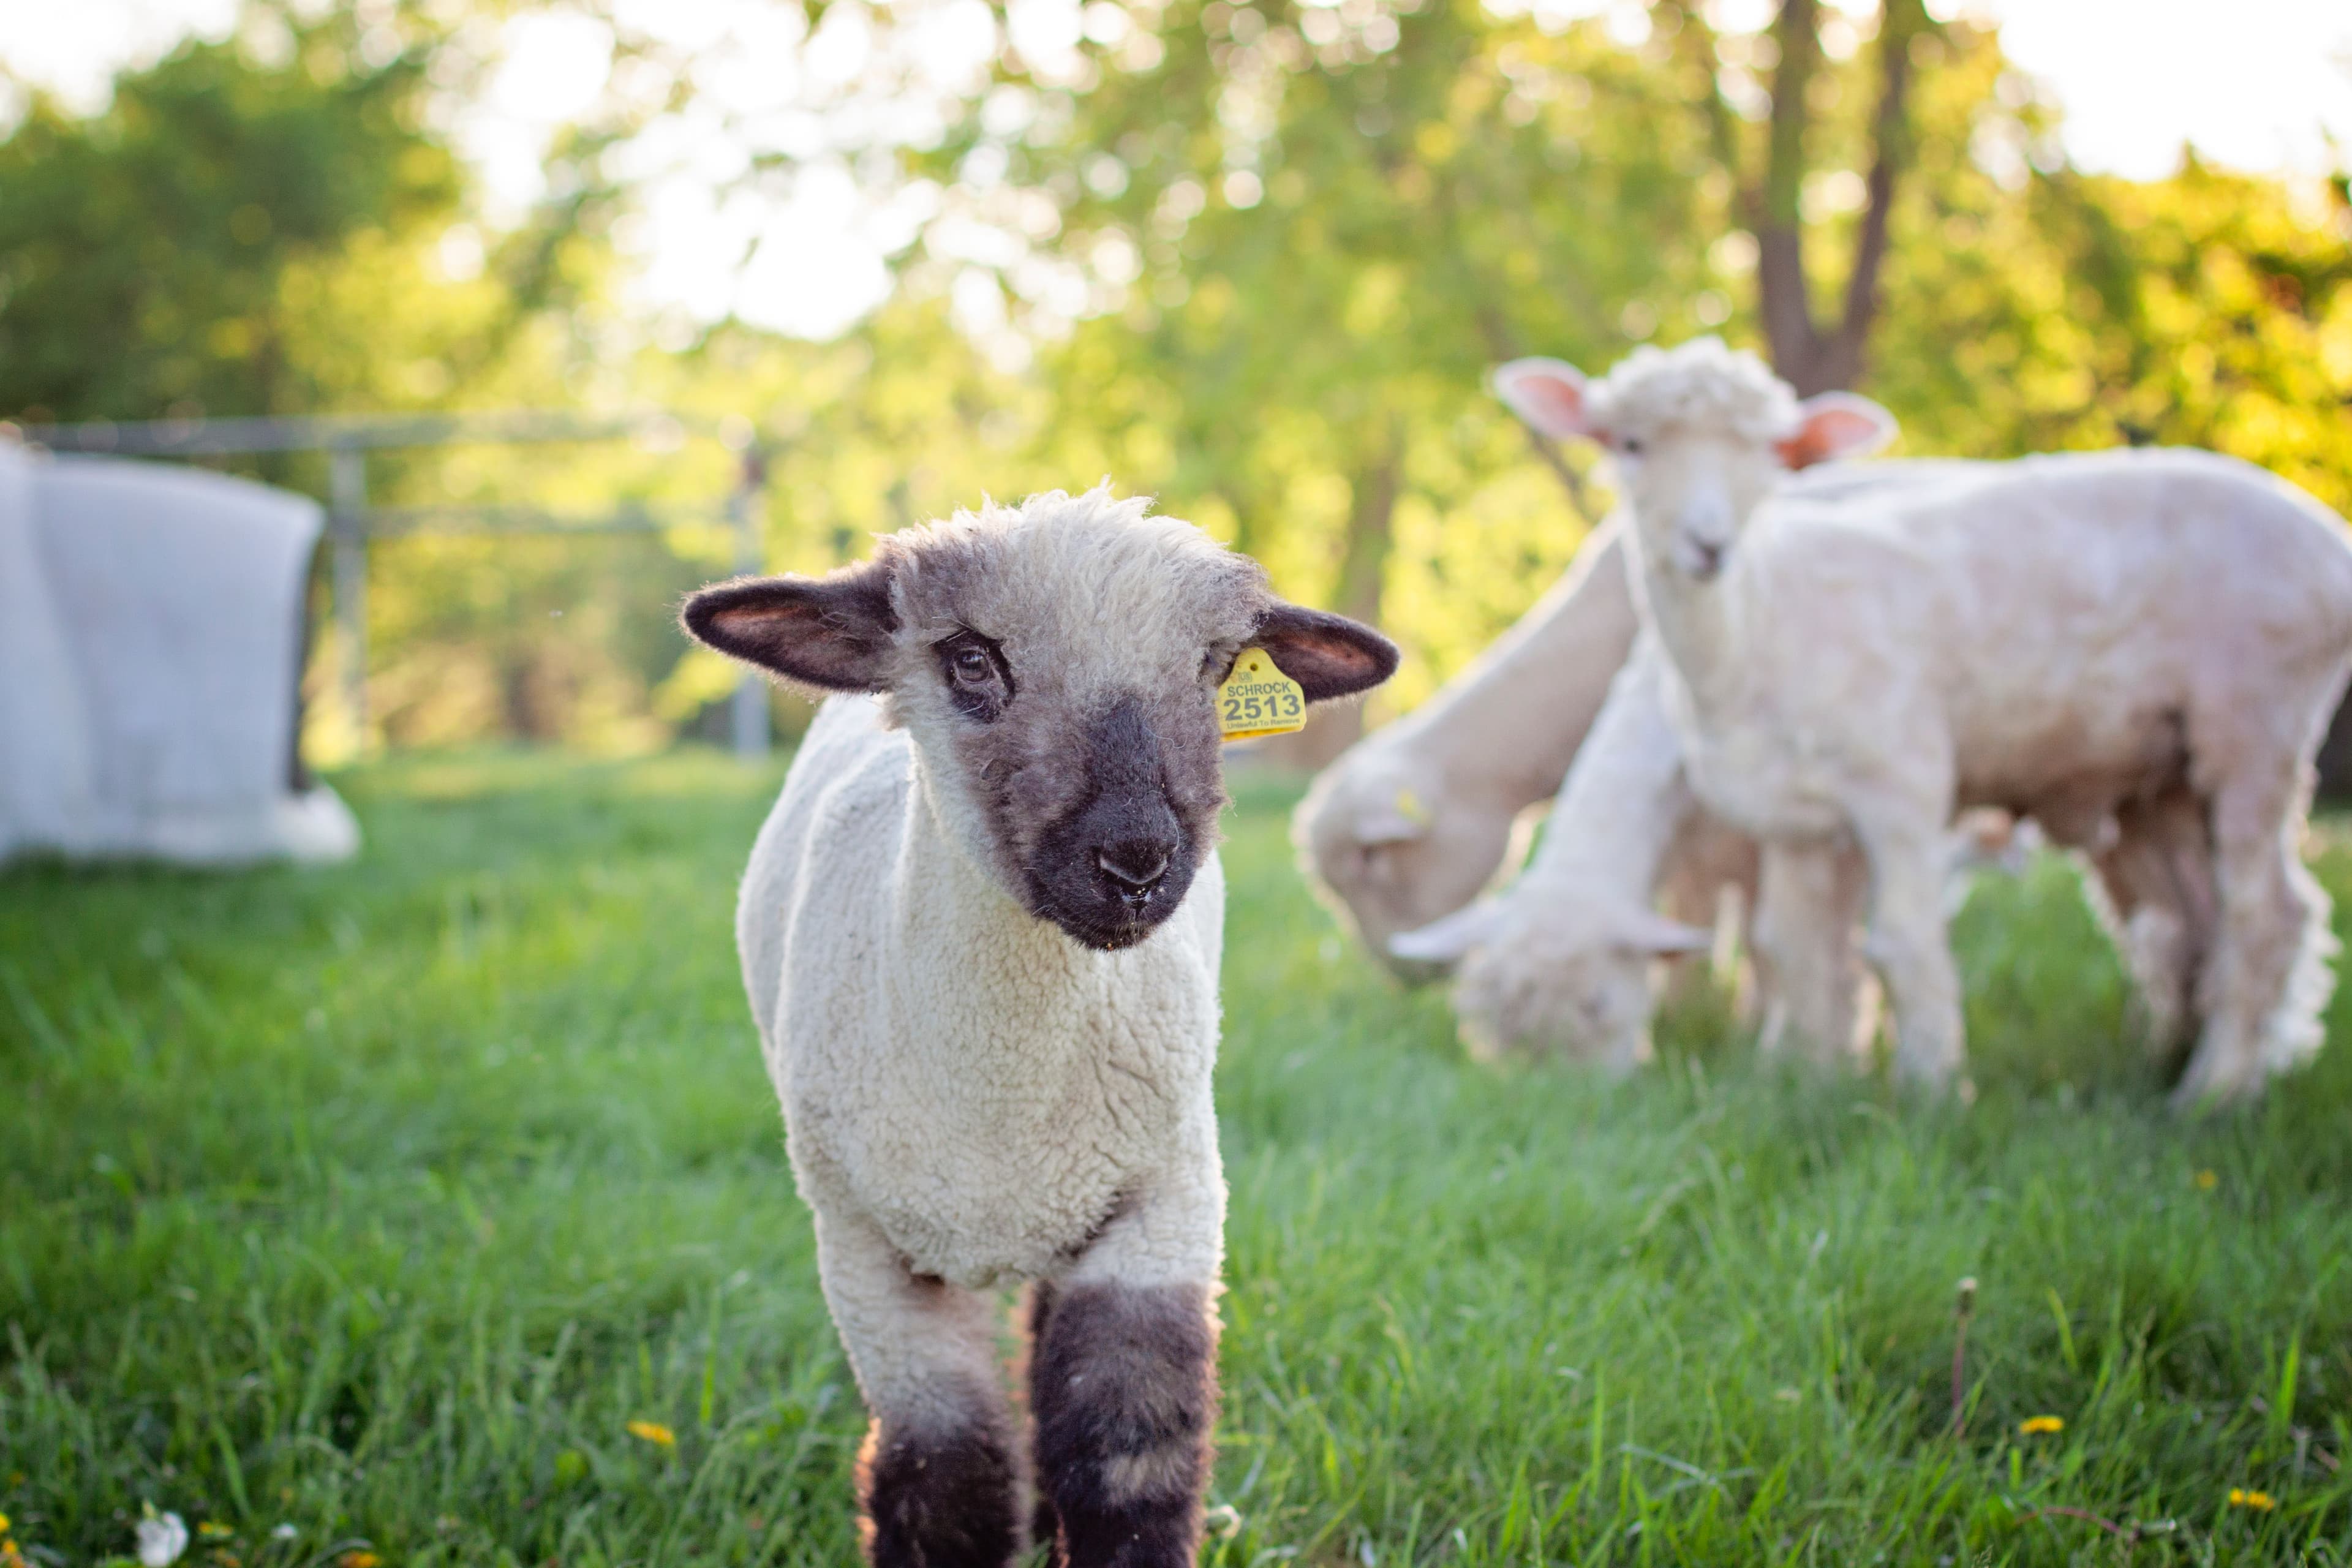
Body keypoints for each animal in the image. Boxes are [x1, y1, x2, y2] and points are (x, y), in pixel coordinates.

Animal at [680, 486, 1396, 1568]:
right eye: (971, 659)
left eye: (1216, 667)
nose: (1136, 860)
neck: (1001, 1101)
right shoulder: (869, 1258)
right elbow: (947, 1483)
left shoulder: (1163, 1214)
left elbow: (1123, 1463)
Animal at [1494, 337, 2352, 1105]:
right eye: (1630, 444)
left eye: (1771, 452)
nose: (1708, 544)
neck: (1761, 621)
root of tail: (2330, 540)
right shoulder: (1795, 817)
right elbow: (1796, 951)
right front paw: (1804, 1082)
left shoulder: (1901, 782)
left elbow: (1901, 946)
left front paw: (1932, 1090)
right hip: (2160, 775)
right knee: (2190, 922)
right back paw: (2174, 1066)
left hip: (2256, 725)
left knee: (2267, 916)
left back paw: (2212, 1096)